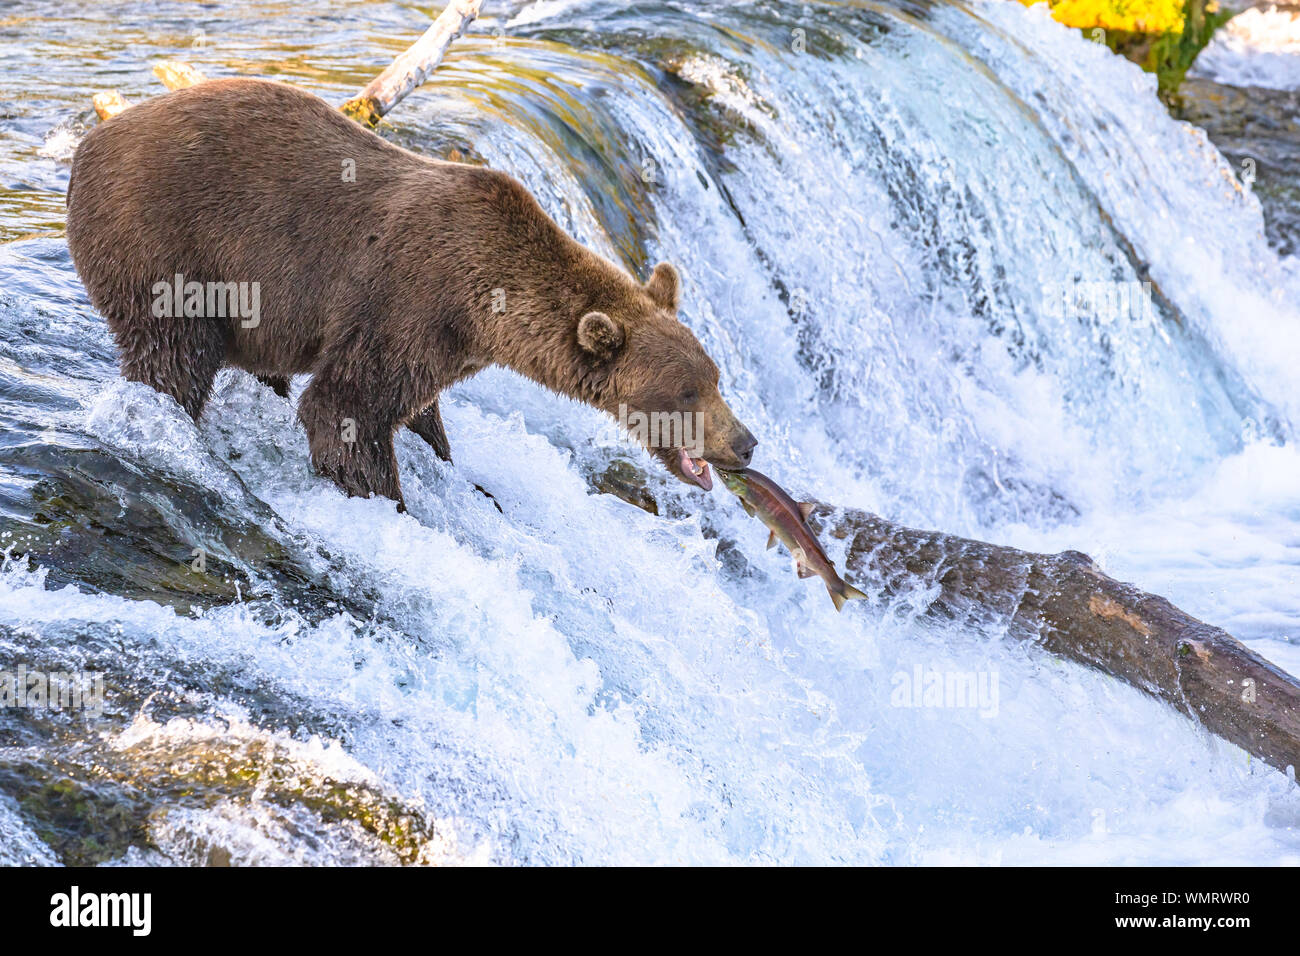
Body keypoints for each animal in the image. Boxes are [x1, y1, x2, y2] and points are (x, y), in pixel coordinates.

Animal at [65, 76, 759, 509]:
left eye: (717, 378)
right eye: (687, 392)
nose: (746, 443)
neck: (488, 309)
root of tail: (88, 145)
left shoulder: (442, 342)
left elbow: (417, 409)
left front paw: (446, 461)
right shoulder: (409, 299)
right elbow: (346, 408)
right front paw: (387, 499)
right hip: (165, 247)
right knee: (173, 359)